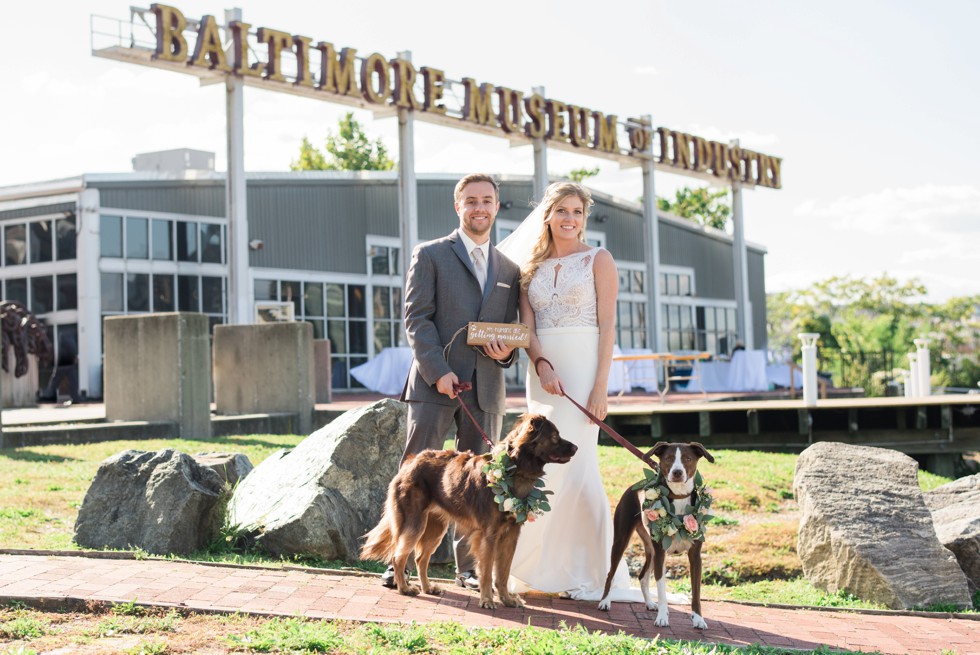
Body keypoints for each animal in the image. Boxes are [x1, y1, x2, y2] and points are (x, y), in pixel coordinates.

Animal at [360, 416, 576, 608]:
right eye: (555, 436)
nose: (576, 448)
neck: (514, 467)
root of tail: (411, 462)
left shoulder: (511, 535)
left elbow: (503, 573)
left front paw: (507, 599)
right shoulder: (489, 536)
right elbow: (487, 572)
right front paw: (487, 600)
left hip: (435, 529)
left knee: (421, 559)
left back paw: (428, 588)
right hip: (415, 524)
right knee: (398, 556)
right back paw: (404, 589)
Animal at [596, 440, 712, 632]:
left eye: (687, 458)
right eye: (669, 458)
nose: (677, 472)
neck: (678, 496)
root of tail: (636, 485)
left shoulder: (695, 556)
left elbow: (696, 592)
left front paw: (698, 619)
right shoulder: (661, 554)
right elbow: (661, 590)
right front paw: (662, 618)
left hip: (651, 548)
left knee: (642, 576)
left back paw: (650, 603)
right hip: (621, 541)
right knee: (610, 574)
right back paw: (605, 602)